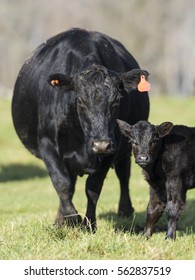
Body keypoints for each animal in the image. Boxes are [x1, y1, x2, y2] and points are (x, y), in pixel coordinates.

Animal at [12, 27, 149, 232]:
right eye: (81, 101)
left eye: (116, 101)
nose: (101, 144)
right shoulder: (47, 145)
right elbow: (62, 184)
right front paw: (69, 218)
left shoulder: (112, 147)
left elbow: (93, 188)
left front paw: (89, 223)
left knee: (123, 174)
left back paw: (125, 210)